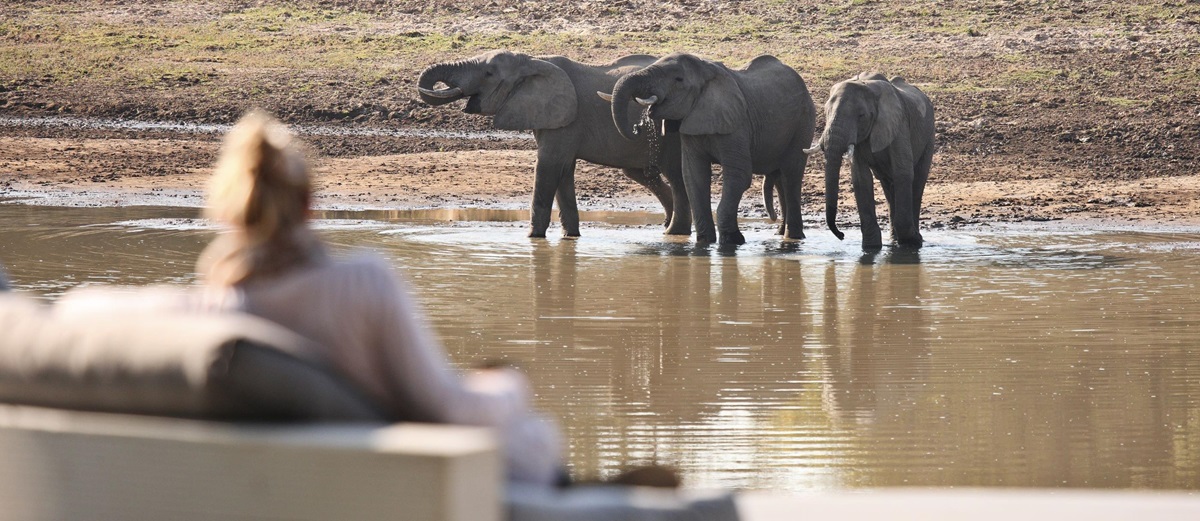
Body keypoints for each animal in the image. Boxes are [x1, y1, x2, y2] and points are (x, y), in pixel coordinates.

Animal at [417, 50, 690, 238]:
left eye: (488, 74)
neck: (532, 61)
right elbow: (563, 173)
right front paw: (571, 237)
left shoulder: (565, 122)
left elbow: (547, 168)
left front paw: (532, 238)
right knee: (642, 173)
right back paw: (667, 225)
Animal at [605, 53, 816, 245]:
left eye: (678, 79)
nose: (637, 128)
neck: (706, 72)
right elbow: (693, 176)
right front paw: (704, 242)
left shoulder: (737, 123)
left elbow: (738, 175)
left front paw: (732, 241)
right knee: (780, 177)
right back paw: (782, 235)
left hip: (803, 122)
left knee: (791, 175)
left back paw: (793, 238)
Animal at [806, 73, 935, 249]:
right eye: (826, 112)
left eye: (861, 116)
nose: (842, 235)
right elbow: (861, 178)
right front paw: (871, 247)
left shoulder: (899, 125)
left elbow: (903, 172)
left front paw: (913, 242)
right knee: (888, 185)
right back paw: (894, 239)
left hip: (929, 136)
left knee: (917, 181)